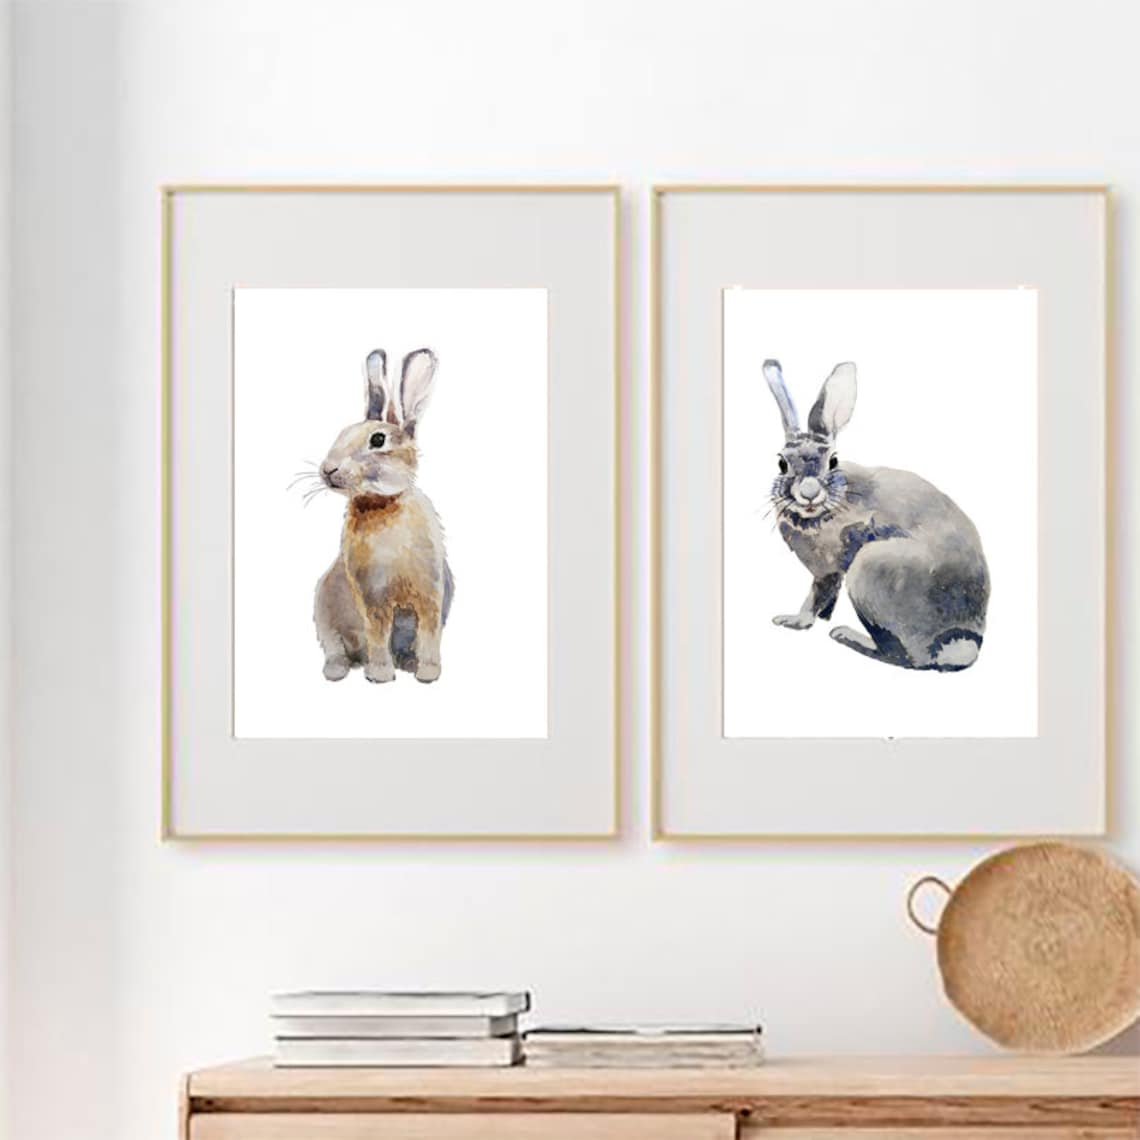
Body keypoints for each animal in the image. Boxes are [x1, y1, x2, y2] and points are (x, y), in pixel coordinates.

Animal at [313, 348, 453, 684]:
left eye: (378, 440)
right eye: (341, 433)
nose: (327, 470)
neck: (382, 505)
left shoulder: (430, 593)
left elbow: (429, 633)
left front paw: (427, 673)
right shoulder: (372, 597)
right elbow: (377, 632)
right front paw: (380, 675)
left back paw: (407, 661)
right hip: (324, 613)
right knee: (335, 649)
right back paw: (336, 671)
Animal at [762, 359, 989, 671]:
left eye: (833, 461)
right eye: (782, 463)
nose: (809, 493)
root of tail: (958, 642)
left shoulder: (828, 569)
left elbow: (815, 596)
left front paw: (794, 621)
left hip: (869, 569)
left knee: (903, 656)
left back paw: (847, 635)